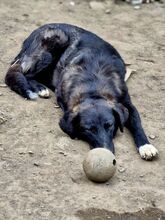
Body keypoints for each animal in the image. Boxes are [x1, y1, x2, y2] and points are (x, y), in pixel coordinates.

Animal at [4, 22, 158, 160]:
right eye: (88, 130)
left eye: (109, 125)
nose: (106, 152)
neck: (93, 86)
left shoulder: (126, 102)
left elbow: (136, 121)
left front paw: (146, 146)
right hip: (55, 43)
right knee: (22, 75)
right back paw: (39, 88)